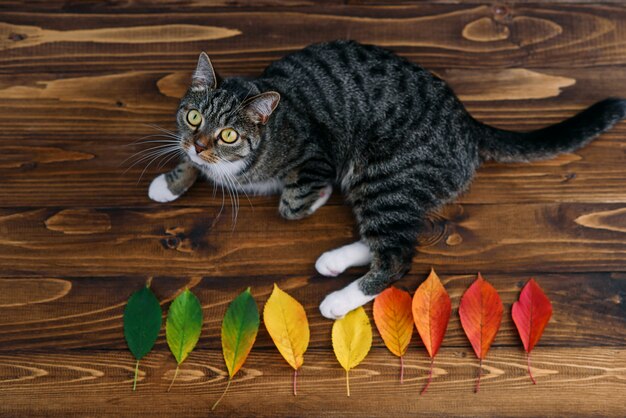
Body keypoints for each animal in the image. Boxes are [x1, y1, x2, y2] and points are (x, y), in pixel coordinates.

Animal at [147, 40, 624, 320]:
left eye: (228, 134)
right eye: (194, 117)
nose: (200, 144)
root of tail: (469, 124)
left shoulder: (317, 156)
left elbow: (294, 202)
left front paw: (309, 196)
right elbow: (189, 160)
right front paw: (170, 181)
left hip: (382, 175)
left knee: (398, 252)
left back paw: (339, 299)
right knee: (403, 233)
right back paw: (335, 261)